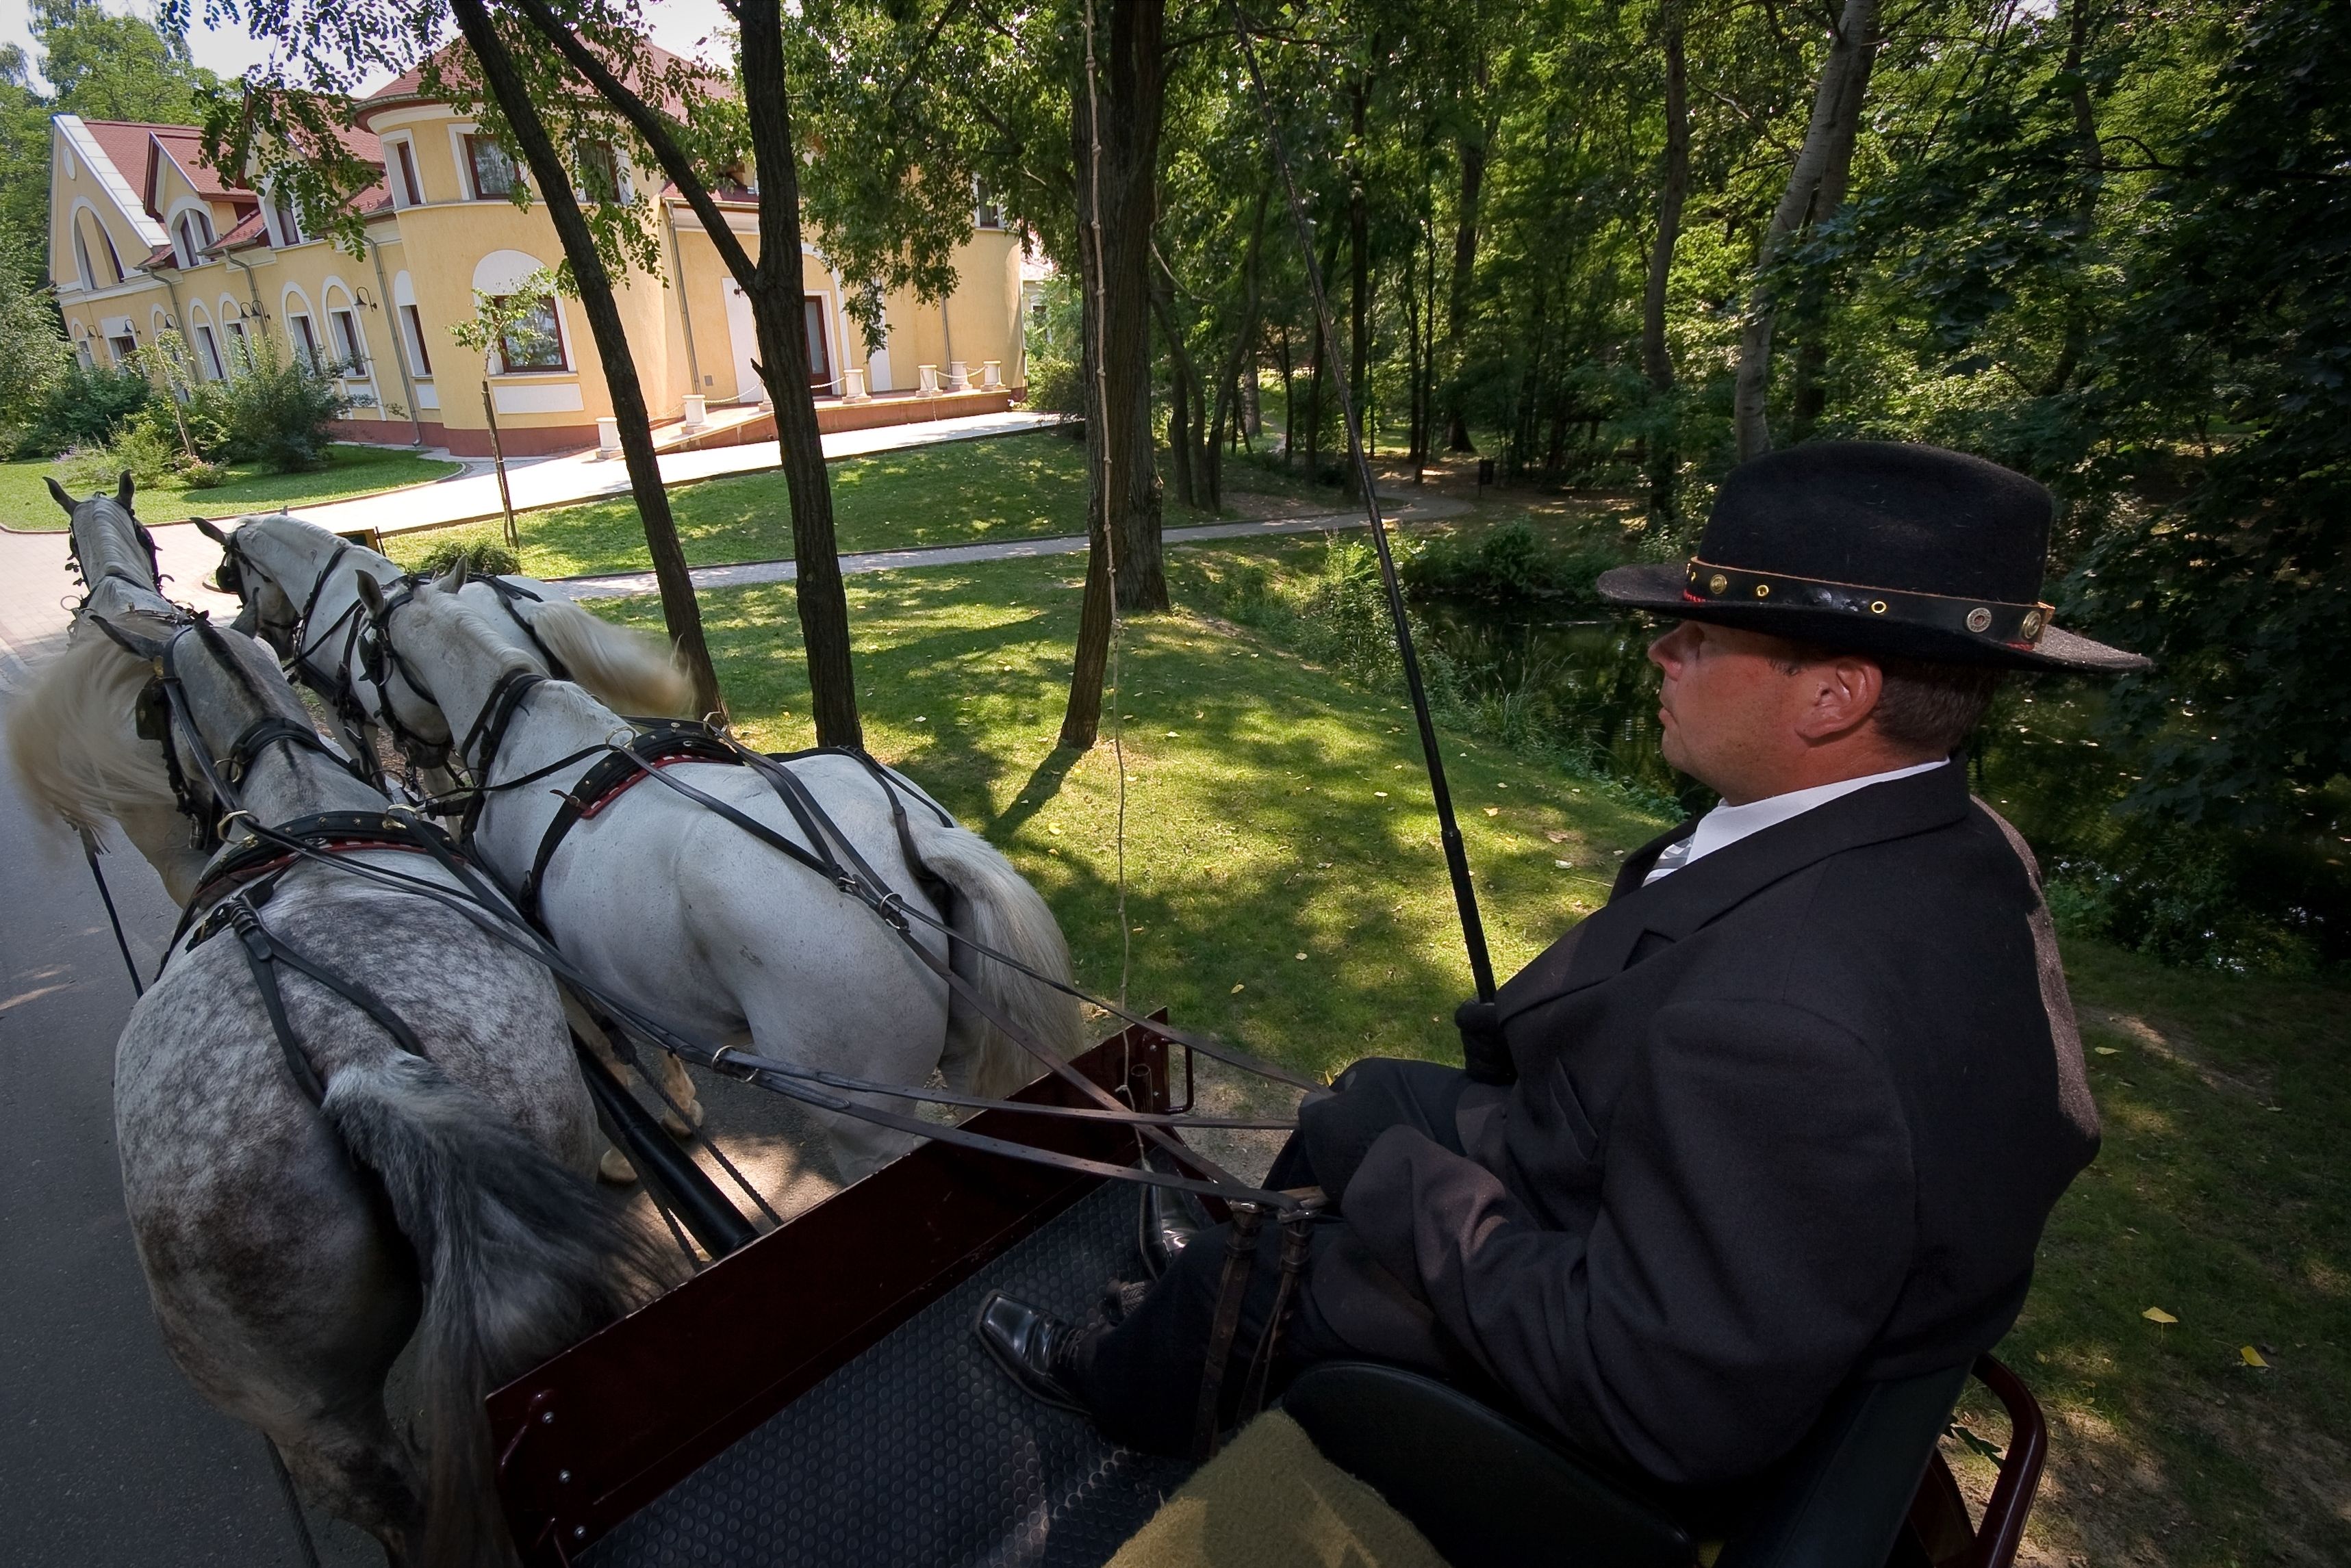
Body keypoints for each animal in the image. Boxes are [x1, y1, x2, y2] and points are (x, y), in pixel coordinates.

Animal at [352, 565, 1086, 1182]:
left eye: (369, 652)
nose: (394, 745)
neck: (527, 733)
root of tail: (914, 842)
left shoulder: (561, 968)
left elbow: (611, 1054)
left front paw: (632, 1147)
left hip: (862, 1120)